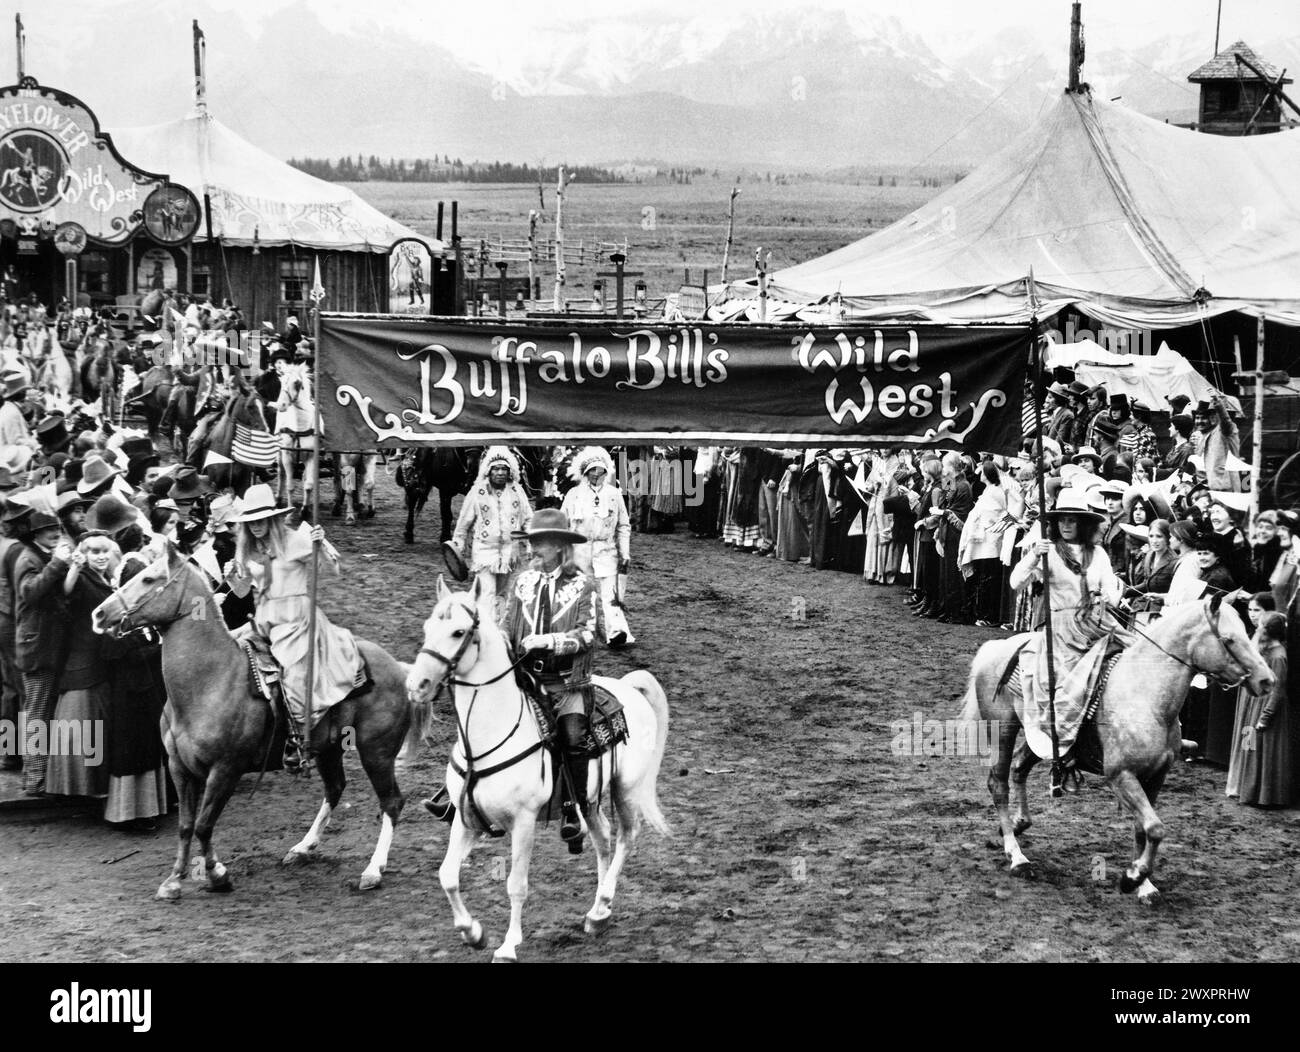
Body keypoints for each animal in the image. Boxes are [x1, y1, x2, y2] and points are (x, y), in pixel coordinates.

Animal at [92, 546, 416, 899]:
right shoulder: (180, 768)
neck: (209, 681)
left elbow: (204, 824)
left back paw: (373, 870)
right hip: (330, 749)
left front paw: (218, 875)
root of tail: (398, 668)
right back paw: (302, 848)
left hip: (376, 752)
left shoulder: (225, 770)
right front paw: (174, 879)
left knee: (391, 802)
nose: (99, 614)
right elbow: (186, 826)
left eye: (149, 578)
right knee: (335, 788)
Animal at [405, 579, 670, 962]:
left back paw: (603, 904)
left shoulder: (524, 821)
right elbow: (448, 876)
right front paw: (473, 932)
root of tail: (629, 689)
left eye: (458, 632)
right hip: (589, 800)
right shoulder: (466, 819)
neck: (488, 737)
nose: (417, 685)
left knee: (626, 837)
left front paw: (507, 945)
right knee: (603, 839)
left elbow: (516, 885)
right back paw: (596, 912)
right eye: (428, 628)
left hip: (627, 788)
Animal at [961, 590, 1274, 905]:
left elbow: (1143, 829)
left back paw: (1018, 823)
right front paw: (1132, 877)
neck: (1145, 696)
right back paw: (1017, 856)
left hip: (1042, 739)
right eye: (1229, 639)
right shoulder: (1121, 776)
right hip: (1003, 729)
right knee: (999, 783)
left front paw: (1145, 886)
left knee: (1019, 768)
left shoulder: (1156, 776)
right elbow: (1155, 828)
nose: (1267, 680)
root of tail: (996, 646)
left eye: (1247, 632)